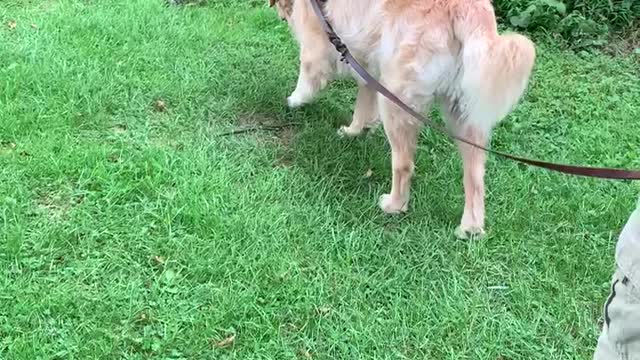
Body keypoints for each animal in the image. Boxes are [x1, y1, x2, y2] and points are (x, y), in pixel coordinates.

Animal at [270, 0, 536, 239]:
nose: (281, 18)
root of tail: (467, 10)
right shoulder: (366, 63)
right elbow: (363, 104)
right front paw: (355, 130)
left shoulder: (318, 44)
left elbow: (308, 77)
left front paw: (294, 101)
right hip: (464, 113)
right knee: (475, 175)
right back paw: (470, 228)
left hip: (396, 97)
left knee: (404, 164)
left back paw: (394, 205)